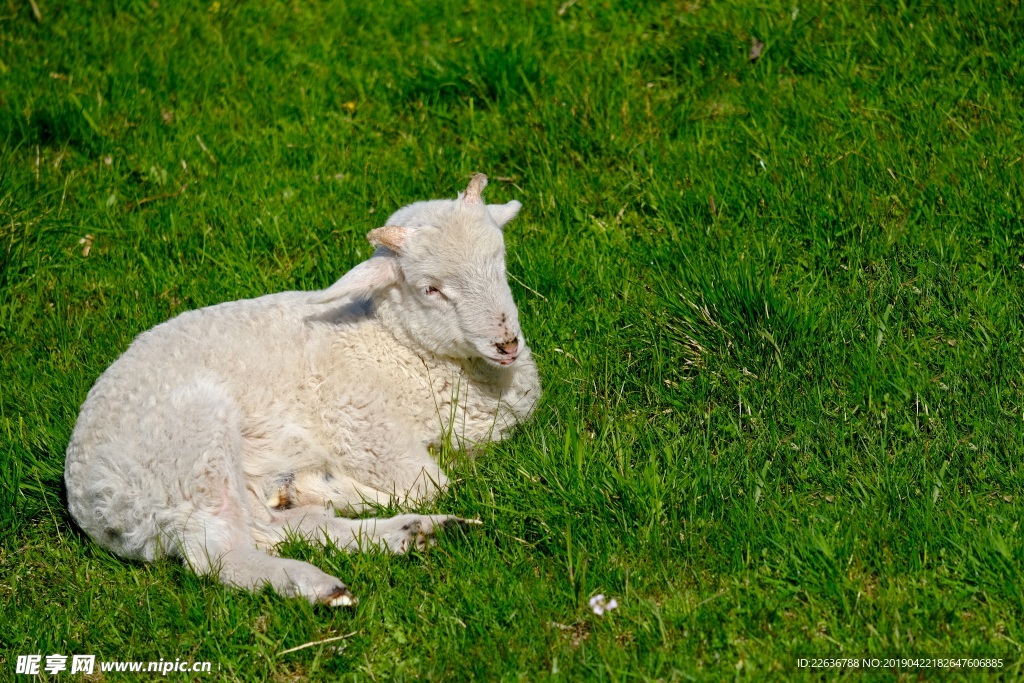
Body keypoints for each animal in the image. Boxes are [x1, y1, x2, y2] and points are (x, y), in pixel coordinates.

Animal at [61, 174, 544, 606]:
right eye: (431, 289)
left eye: (501, 264)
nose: (507, 343)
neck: (394, 344)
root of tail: (91, 502)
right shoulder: (366, 427)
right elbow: (432, 484)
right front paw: (333, 489)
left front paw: (315, 490)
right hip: (189, 452)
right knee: (219, 554)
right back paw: (317, 582)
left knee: (271, 529)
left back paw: (410, 530)